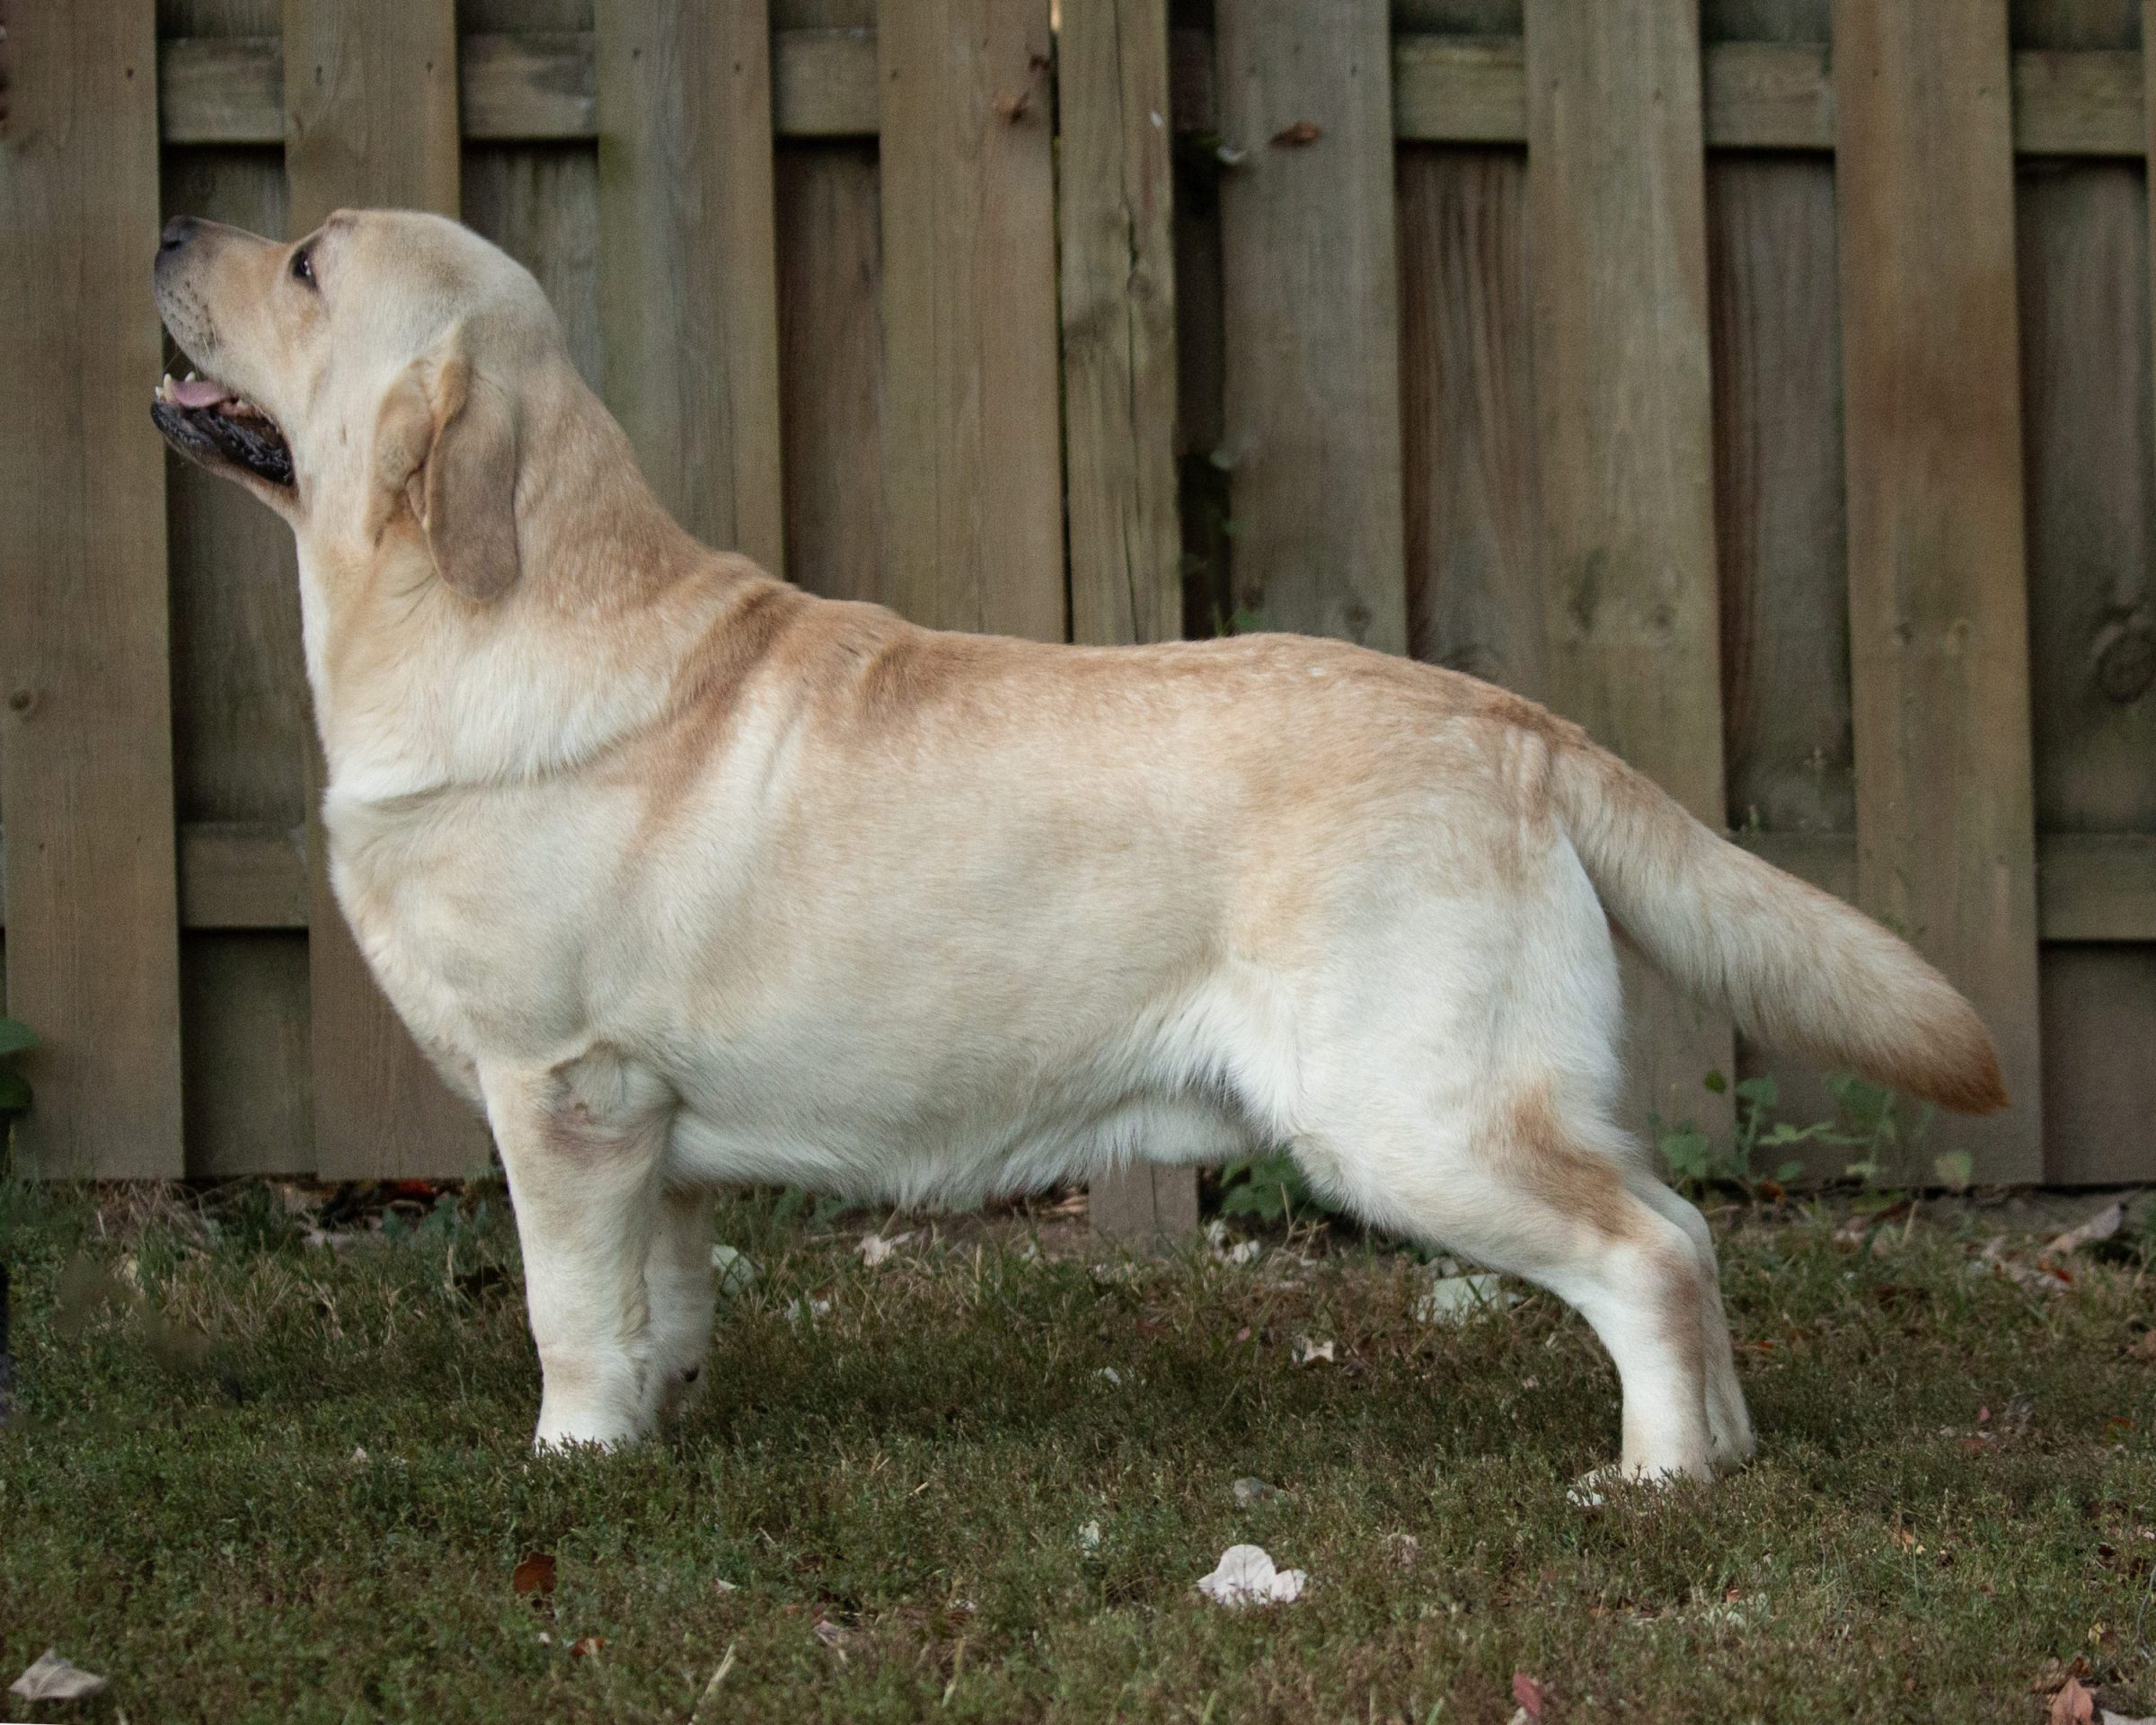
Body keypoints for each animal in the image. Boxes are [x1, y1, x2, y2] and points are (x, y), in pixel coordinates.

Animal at [151, 208, 2005, 1480]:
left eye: (304, 260)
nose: (172, 224)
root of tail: (1518, 722)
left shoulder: (567, 1091)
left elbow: (562, 1310)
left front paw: (573, 1464)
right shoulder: (652, 1127)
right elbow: (658, 1304)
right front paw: (657, 1437)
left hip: (1409, 1112)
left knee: (1646, 1251)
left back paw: (1655, 1484)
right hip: (1494, 1093)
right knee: (1686, 1227)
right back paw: (1728, 1451)